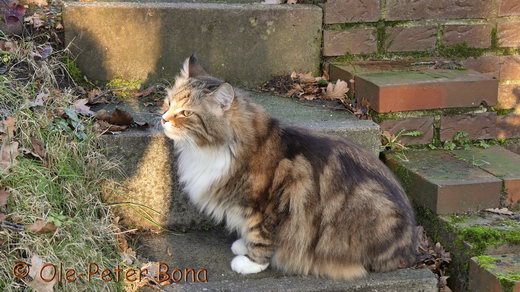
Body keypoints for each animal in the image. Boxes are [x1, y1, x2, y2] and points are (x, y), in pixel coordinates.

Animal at [160, 56, 416, 278]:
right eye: (169, 103)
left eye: (186, 113)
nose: (163, 119)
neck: (219, 148)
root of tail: (412, 247)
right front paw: (243, 244)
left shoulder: (270, 201)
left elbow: (261, 235)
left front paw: (251, 262)